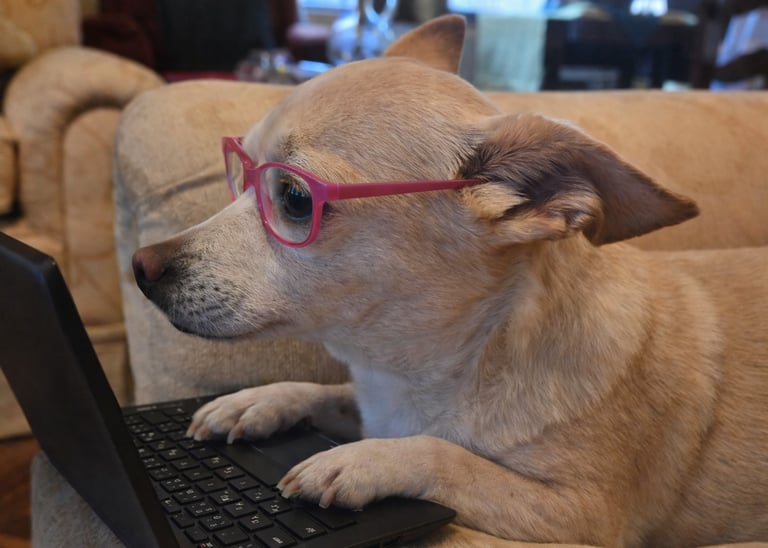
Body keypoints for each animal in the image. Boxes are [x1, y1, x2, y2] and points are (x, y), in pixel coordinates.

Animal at [131, 15, 768, 547]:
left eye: (292, 198)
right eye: (237, 166)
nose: (141, 266)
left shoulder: (584, 515)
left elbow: (448, 456)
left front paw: (363, 461)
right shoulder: (374, 403)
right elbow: (327, 392)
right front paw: (257, 401)